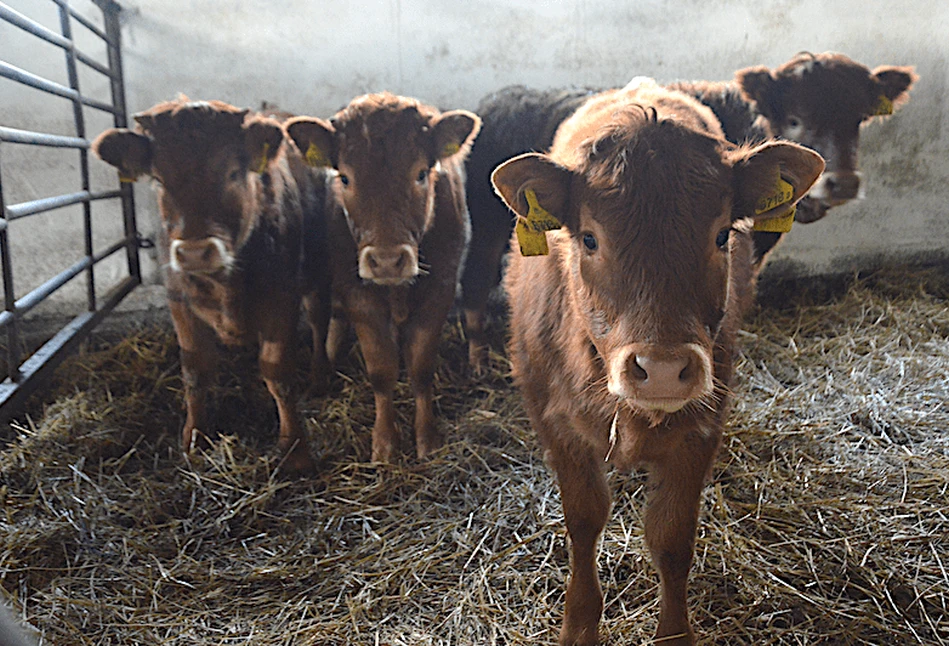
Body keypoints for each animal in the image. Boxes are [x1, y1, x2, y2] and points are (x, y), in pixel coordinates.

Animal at [91, 101, 330, 476]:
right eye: (159, 180)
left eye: (233, 173)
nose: (193, 252)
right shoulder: (179, 302)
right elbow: (195, 370)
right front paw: (195, 436)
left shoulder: (281, 297)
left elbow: (278, 372)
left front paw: (296, 450)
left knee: (320, 321)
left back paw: (320, 378)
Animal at [286, 92, 482, 466]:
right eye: (345, 178)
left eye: (421, 173)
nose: (388, 261)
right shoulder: (357, 293)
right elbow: (381, 369)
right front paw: (385, 444)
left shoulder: (440, 290)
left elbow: (420, 367)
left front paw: (427, 438)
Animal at [496, 85, 824, 644]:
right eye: (589, 238)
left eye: (722, 236)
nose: (664, 369)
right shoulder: (556, 424)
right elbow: (584, 521)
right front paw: (579, 623)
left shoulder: (700, 429)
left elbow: (671, 539)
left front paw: (674, 632)